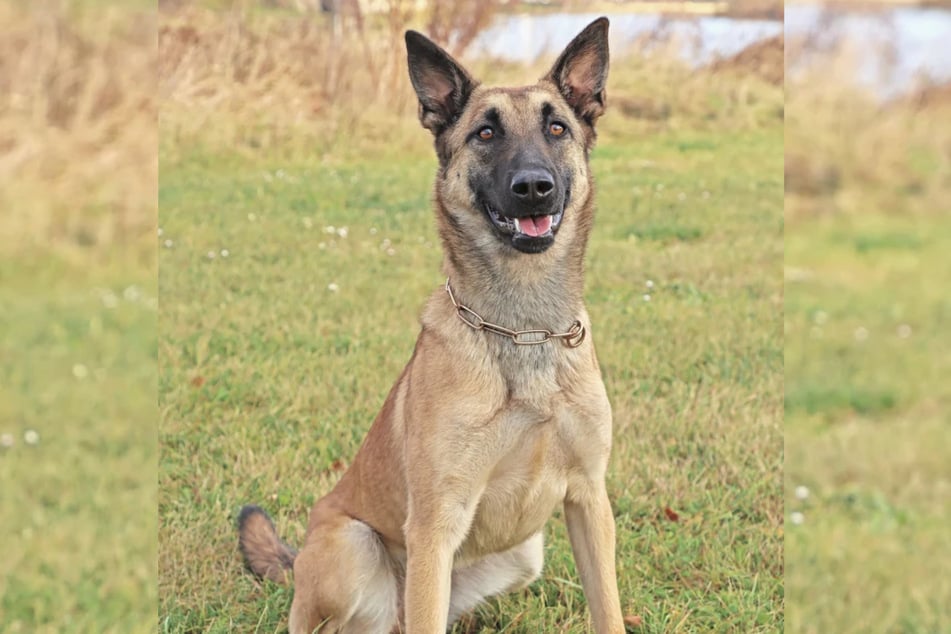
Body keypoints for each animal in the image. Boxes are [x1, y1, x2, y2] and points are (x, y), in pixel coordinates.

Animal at [238, 17, 624, 628]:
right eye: (485, 134)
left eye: (557, 128)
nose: (533, 186)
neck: (523, 329)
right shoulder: (436, 524)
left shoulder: (589, 501)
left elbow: (607, 609)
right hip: (355, 547)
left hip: (522, 554)